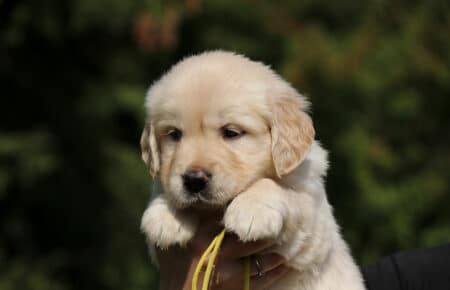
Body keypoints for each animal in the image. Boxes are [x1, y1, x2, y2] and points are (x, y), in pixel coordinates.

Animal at [140, 51, 366, 290]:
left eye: (231, 132)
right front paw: (165, 215)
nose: (194, 180)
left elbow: (278, 188)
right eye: (174, 134)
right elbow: (163, 188)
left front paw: (251, 211)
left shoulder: (312, 227)